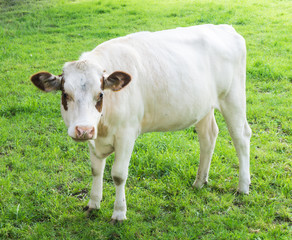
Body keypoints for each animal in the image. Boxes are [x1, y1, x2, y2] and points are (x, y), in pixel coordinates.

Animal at [31, 24, 251, 223]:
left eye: (100, 94)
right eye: (65, 94)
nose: (83, 129)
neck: (102, 127)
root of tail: (224, 27)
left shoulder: (126, 134)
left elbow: (118, 175)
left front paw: (119, 213)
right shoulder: (95, 139)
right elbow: (96, 170)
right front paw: (93, 204)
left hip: (233, 98)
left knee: (241, 137)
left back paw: (243, 186)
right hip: (203, 107)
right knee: (208, 137)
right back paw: (199, 181)